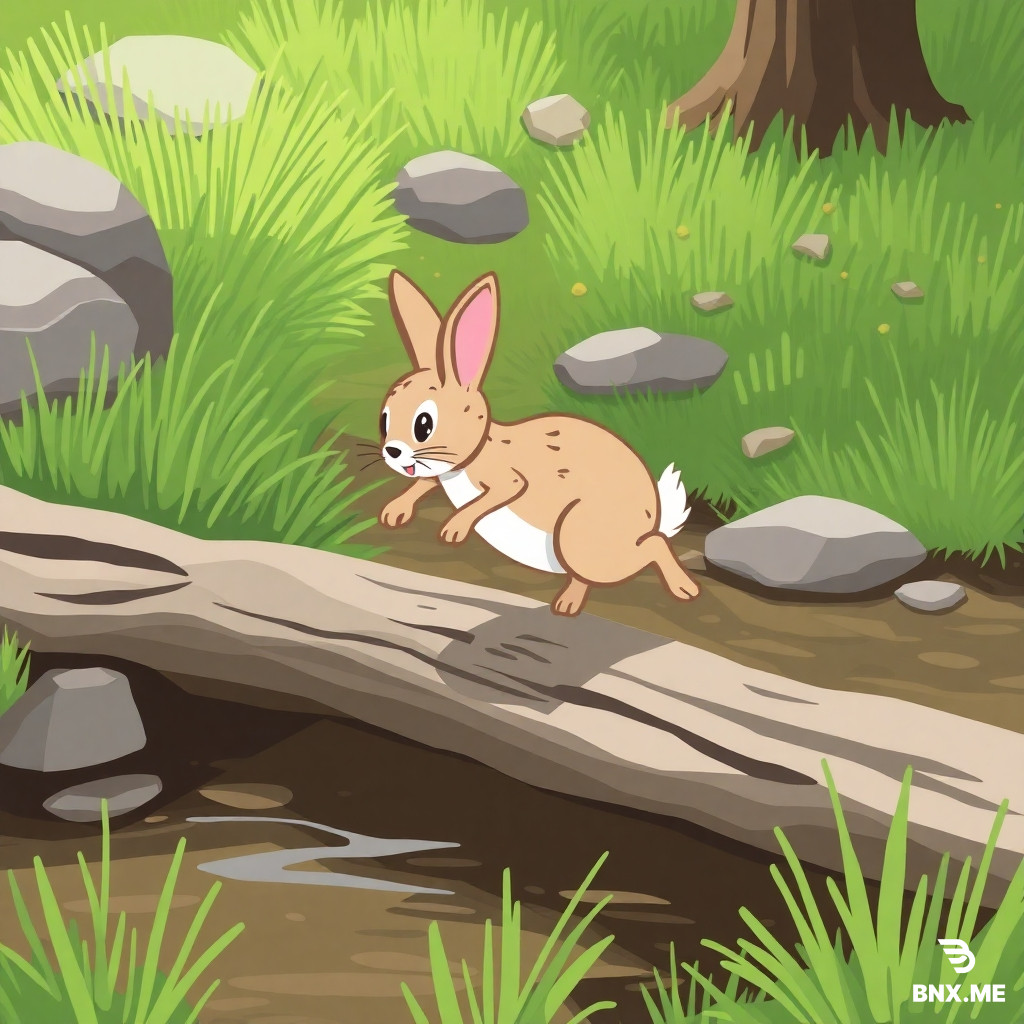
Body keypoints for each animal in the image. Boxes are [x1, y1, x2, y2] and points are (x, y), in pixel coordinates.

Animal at [377, 269, 701, 616]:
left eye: (424, 425)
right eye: (384, 420)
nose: (392, 452)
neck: (478, 448)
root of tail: (652, 518)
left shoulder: (508, 478)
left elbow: (493, 495)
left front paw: (454, 528)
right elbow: (424, 483)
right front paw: (394, 512)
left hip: (578, 535)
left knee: (651, 546)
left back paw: (677, 590)